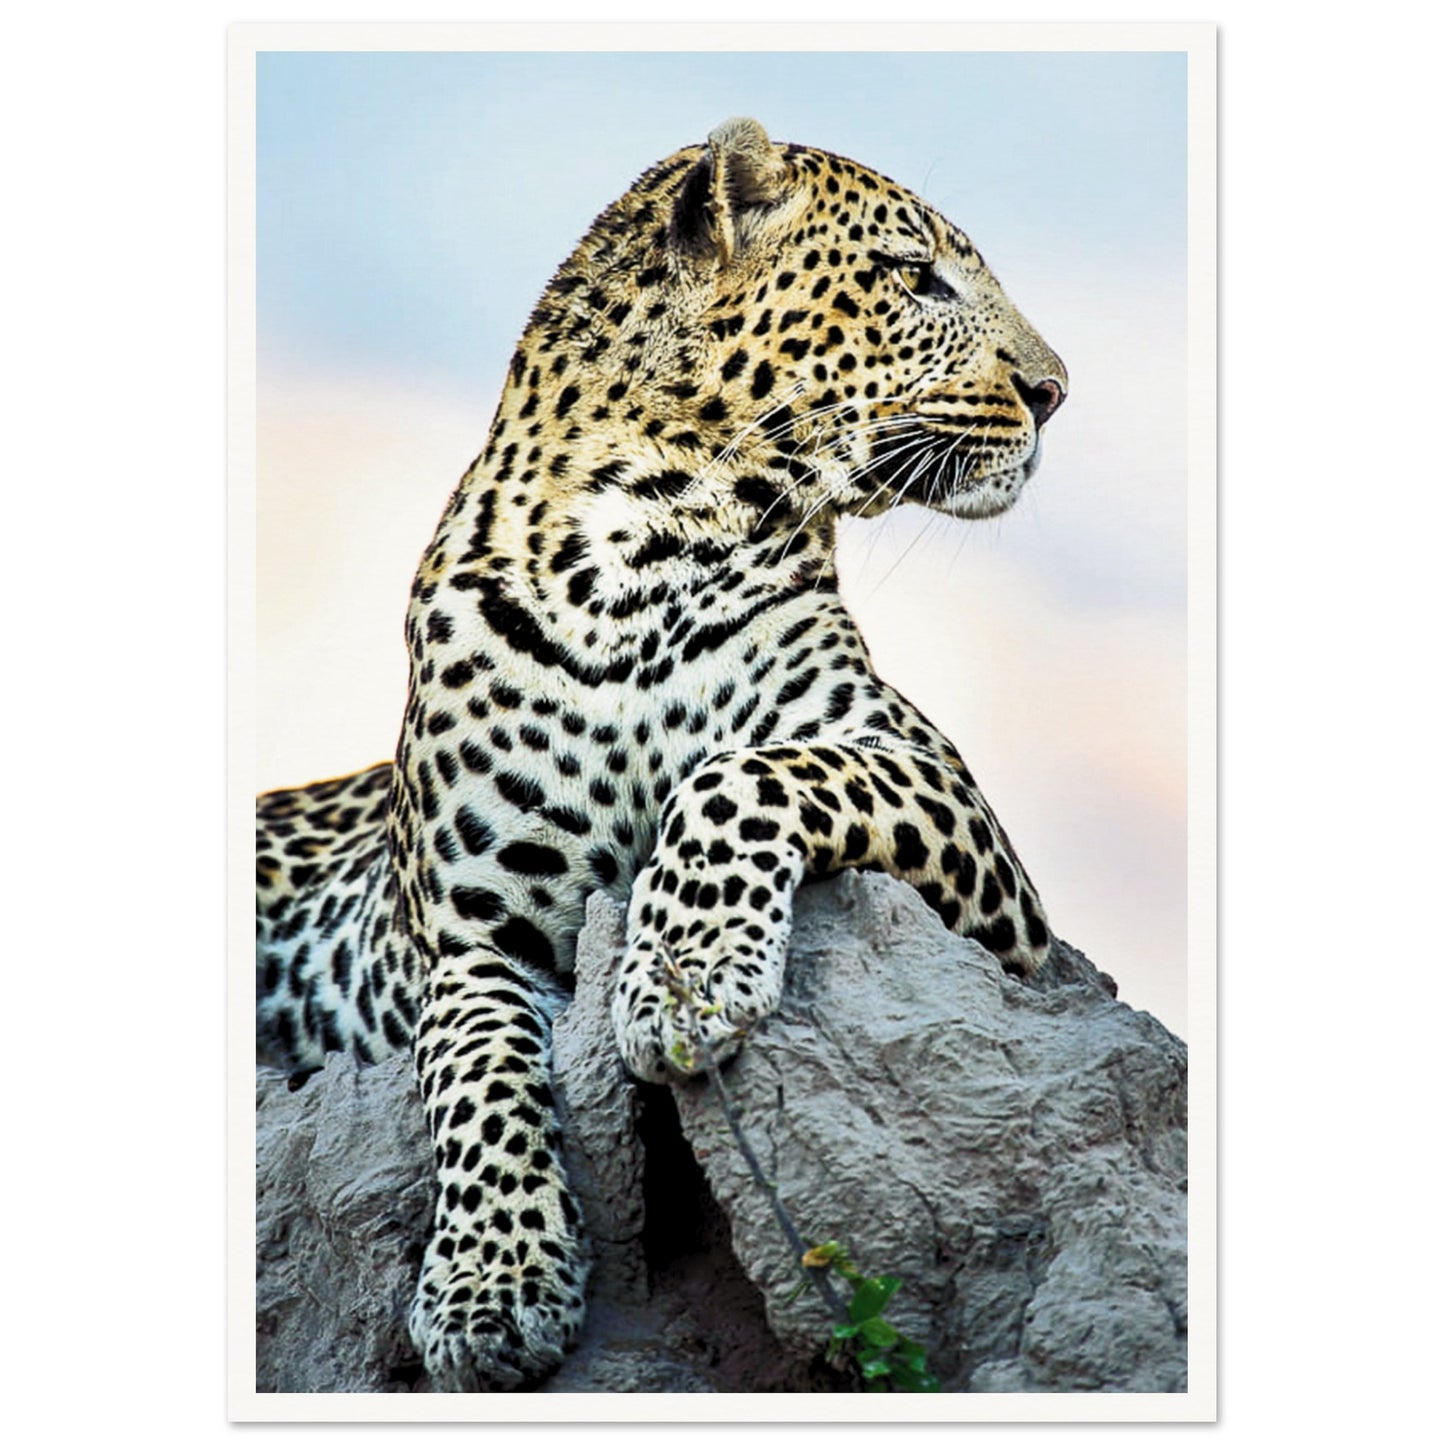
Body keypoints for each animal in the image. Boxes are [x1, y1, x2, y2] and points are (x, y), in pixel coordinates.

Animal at [256, 117, 1067, 1392]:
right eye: (914, 276)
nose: (1055, 391)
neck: (631, 556)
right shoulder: (468, 940)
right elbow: (473, 1073)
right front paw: (490, 1289)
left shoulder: (959, 826)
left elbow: (738, 774)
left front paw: (682, 982)